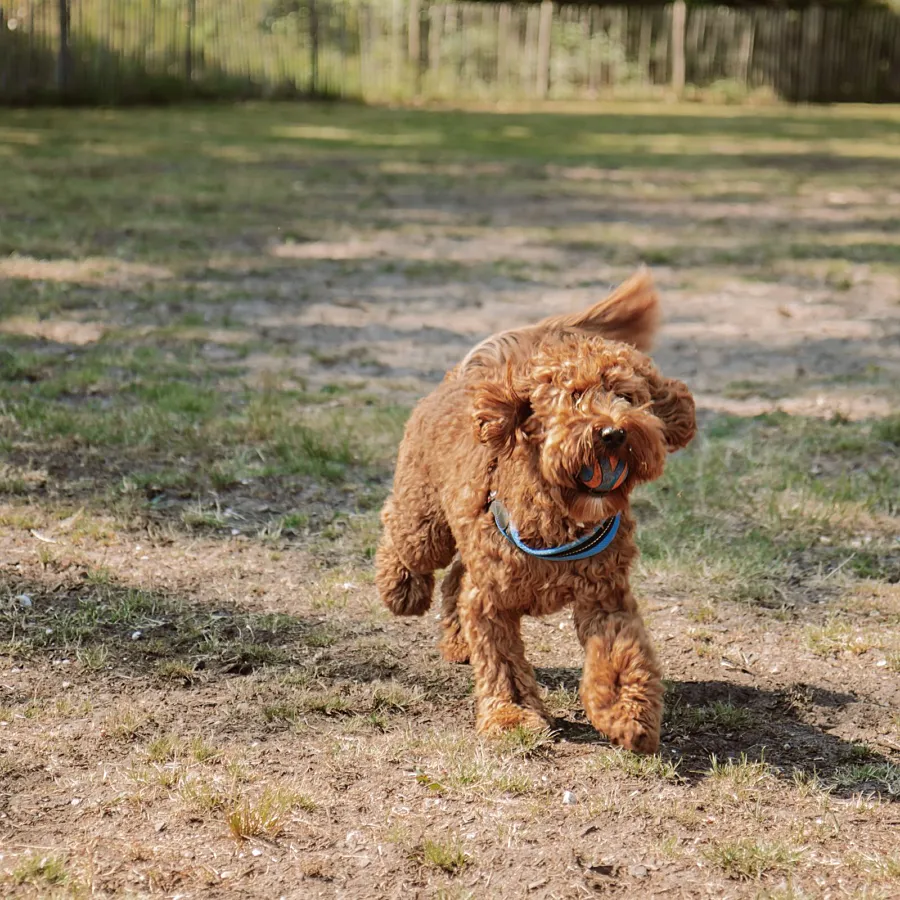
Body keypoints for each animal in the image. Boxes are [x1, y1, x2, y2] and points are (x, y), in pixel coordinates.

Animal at [372, 268, 696, 752]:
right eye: (574, 395)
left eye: (627, 396)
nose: (613, 433)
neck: (559, 513)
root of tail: (461, 377)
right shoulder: (492, 604)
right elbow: (503, 663)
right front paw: (512, 716)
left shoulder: (605, 596)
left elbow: (619, 655)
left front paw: (628, 713)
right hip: (425, 519)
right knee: (405, 537)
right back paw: (400, 588)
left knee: (456, 579)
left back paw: (458, 641)